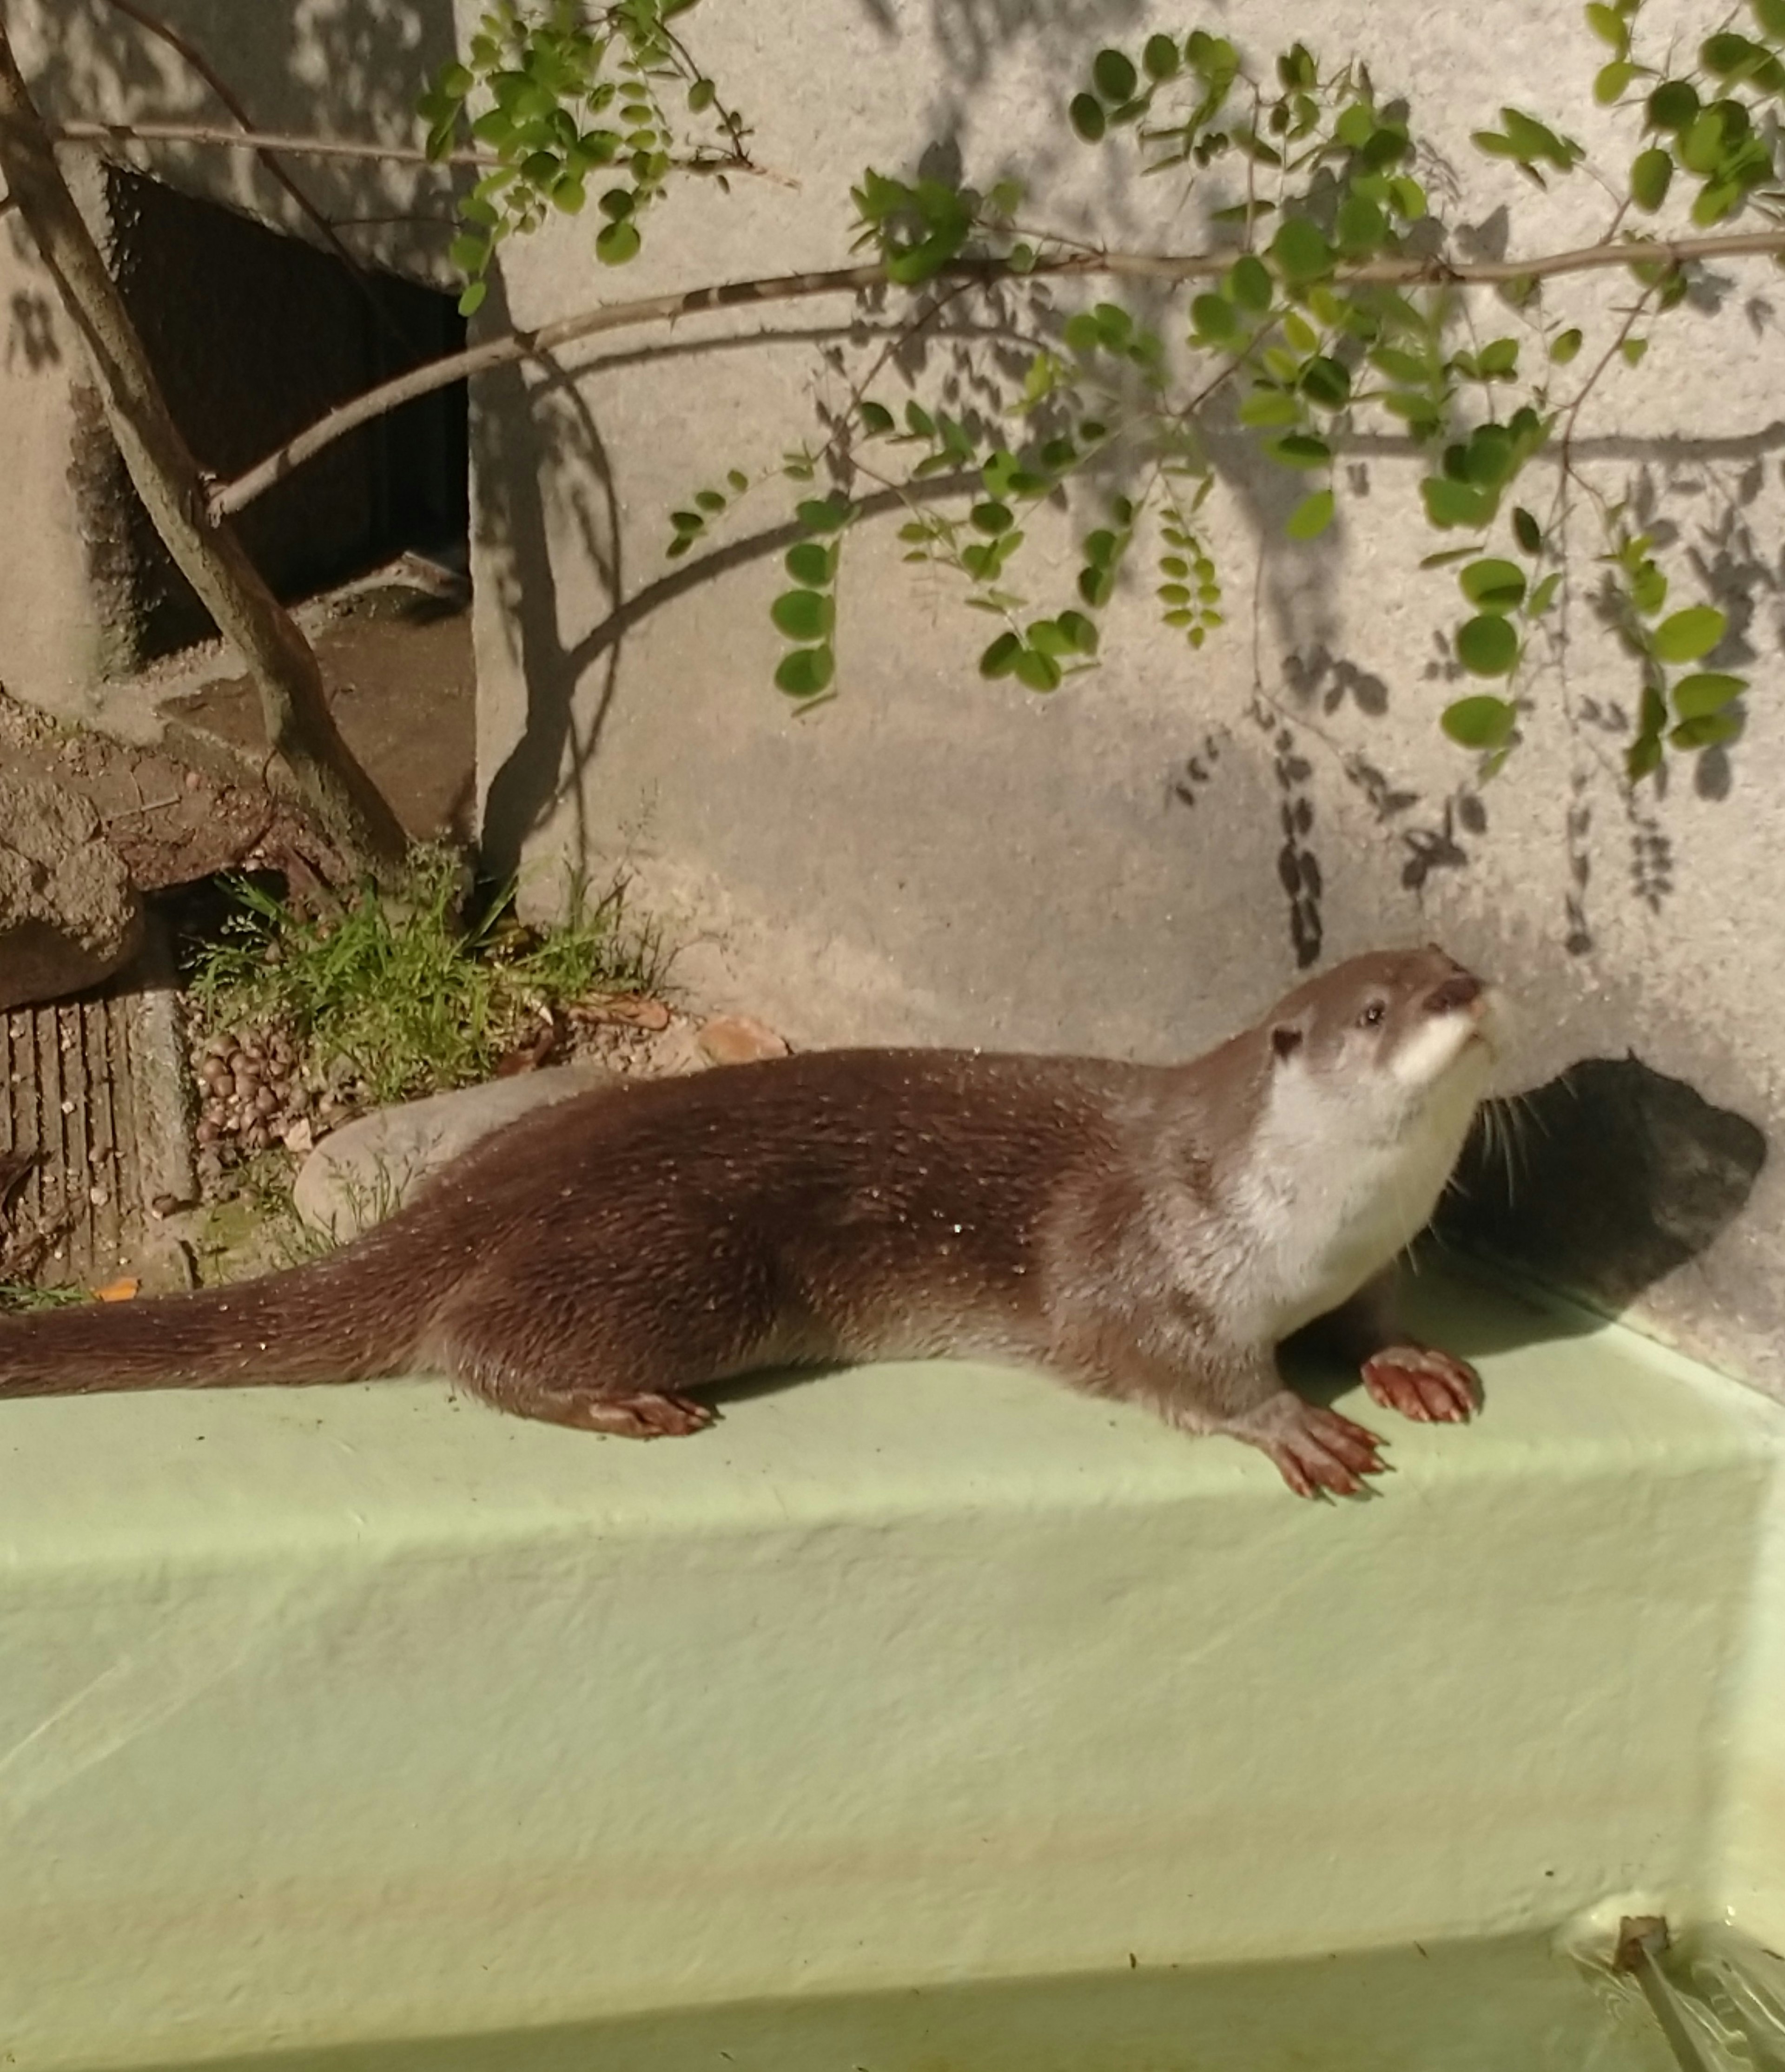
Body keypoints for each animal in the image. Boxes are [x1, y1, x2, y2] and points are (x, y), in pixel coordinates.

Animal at [0, 949, 1501, 1500]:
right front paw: (1287, 1421)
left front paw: (1409, 1360)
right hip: (684, 1257)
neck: (1310, 1226)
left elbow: (1375, 1317)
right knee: (472, 1339)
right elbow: (1152, 1356)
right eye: (1377, 1009)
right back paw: (621, 1403)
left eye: (1448, 958)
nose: (1471, 988)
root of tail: (468, 1194)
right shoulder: (1133, 1249)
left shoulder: (1367, 1259)